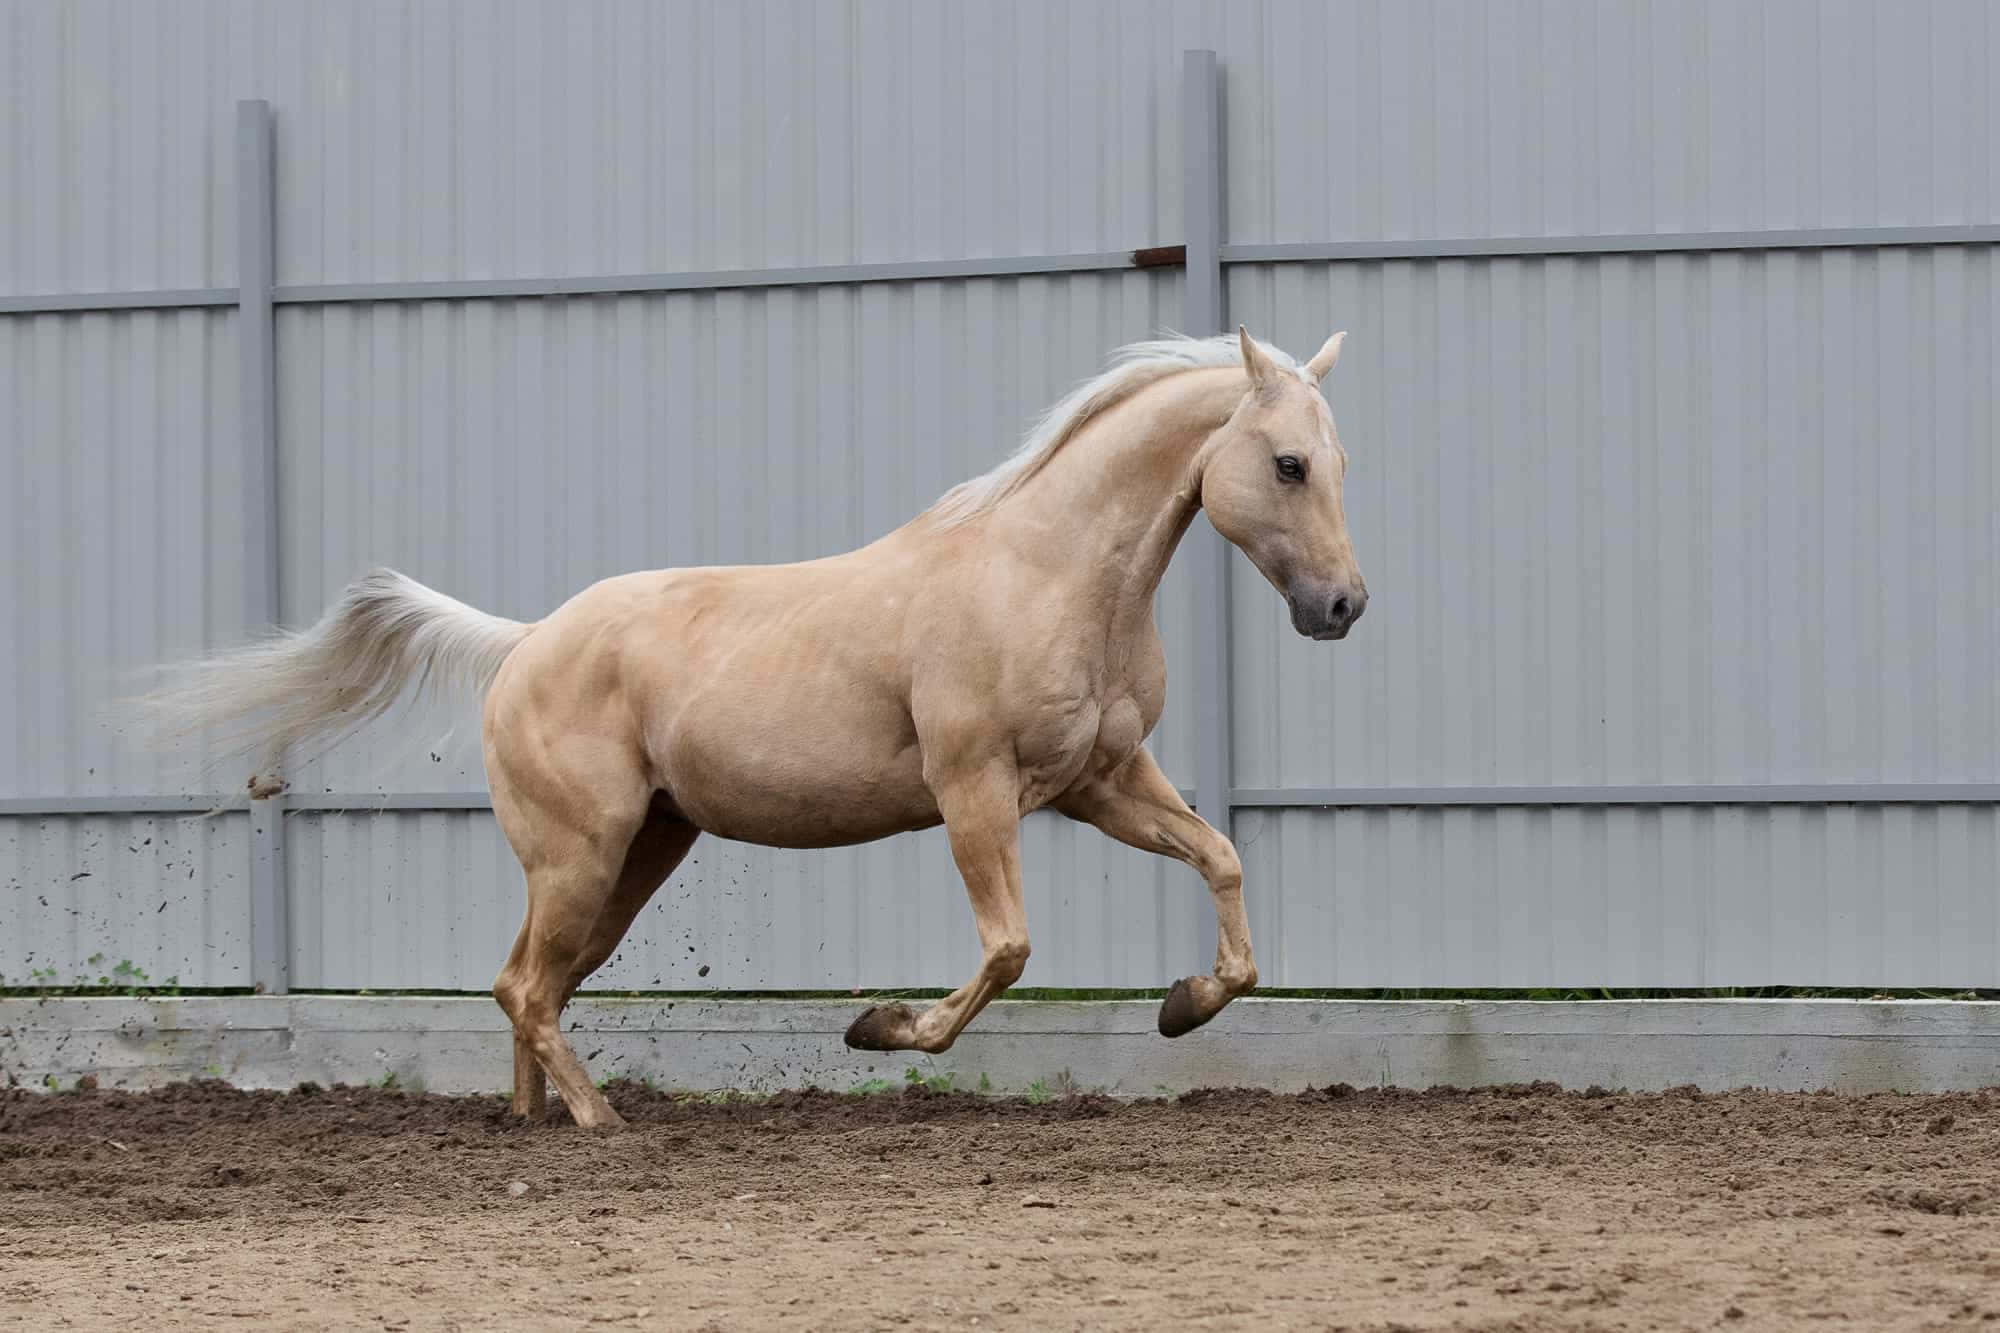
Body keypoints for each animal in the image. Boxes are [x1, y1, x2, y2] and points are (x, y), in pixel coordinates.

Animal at [143, 326, 1367, 1128]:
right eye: (1288, 463)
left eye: (1336, 462)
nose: (1343, 606)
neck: (1046, 574)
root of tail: (525, 642)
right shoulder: (975, 791)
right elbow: (1007, 950)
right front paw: (880, 1028)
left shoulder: (1101, 780)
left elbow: (1220, 858)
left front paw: (1183, 1007)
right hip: (583, 855)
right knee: (526, 987)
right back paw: (602, 1123)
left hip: (634, 853)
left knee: (526, 981)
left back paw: (535, 1120)